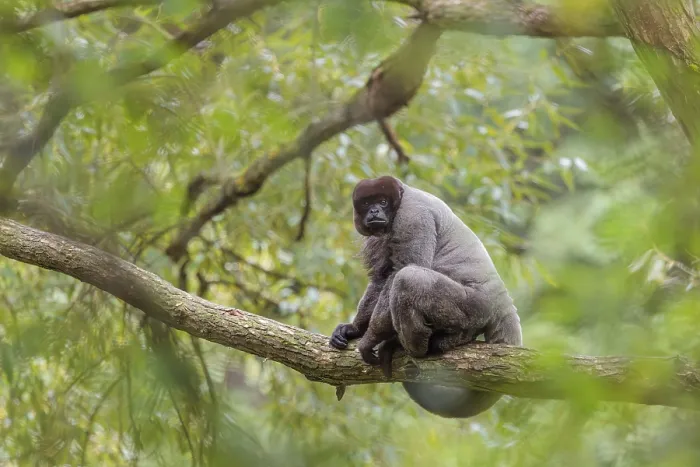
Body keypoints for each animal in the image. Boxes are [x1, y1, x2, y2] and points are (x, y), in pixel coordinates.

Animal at [329, 175, 522, 418]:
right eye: (366, 203)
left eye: (382, 202)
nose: (374, 211)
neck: (401, 197)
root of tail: (502, 298)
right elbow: (381, 278)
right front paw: (353, 329)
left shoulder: (413, 217)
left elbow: (401, 270)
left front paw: (369, 338)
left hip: (475, 305)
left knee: (407, 278)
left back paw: (419, 346)